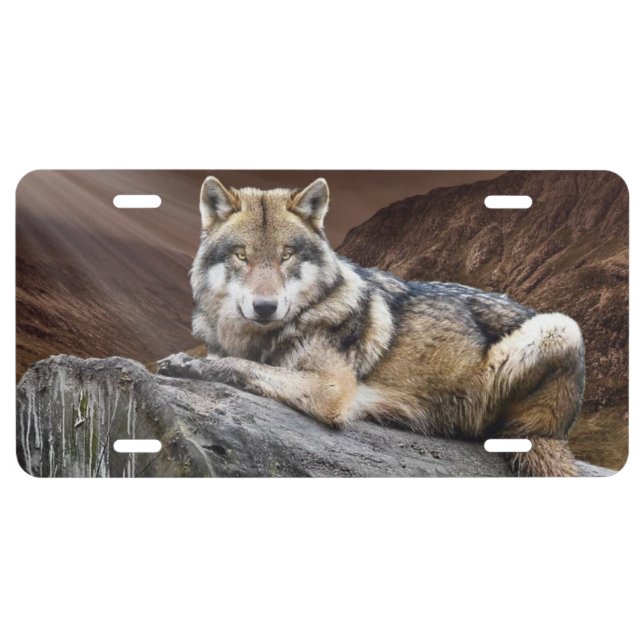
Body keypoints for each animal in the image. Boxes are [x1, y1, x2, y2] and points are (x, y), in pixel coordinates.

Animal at [157, 176, 585, 476]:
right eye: (241, 255)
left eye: (286, 255)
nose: (265, 307)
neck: (257, 338)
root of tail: (556, 433)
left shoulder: (332, 389)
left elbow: (242, 367)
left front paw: (190, 365)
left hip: (560, 326)